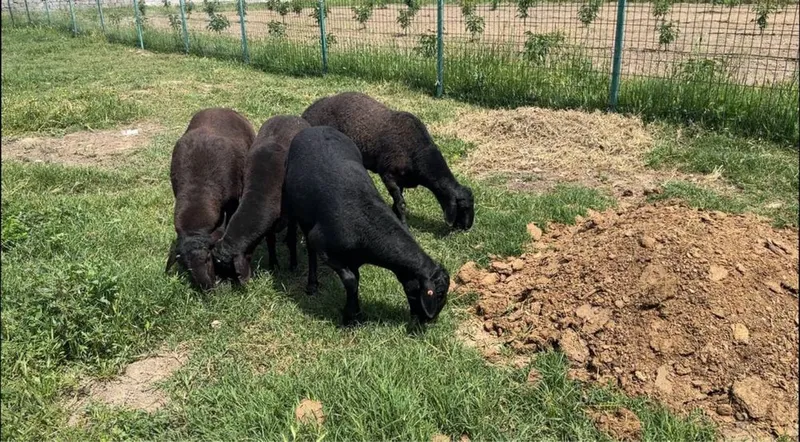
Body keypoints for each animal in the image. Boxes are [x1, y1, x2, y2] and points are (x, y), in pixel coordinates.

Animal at [165, 108, 255, 291]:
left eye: (208, 258)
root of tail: (220, 108)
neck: (198, 191)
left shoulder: (232, 201)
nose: (207, 288)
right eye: (186, 266)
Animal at [211, 115, 310, 284]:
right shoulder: (269, 224)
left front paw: (293, 265)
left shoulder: (291, 215)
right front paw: (274, 265)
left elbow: (292, 240)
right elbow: (270, 242)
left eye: (230, 269)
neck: (261, 193)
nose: (222, 285)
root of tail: (290, 116)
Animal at [283, 126, 450, 325]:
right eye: (438, 293)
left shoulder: (354, 259)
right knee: (304, 241)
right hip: (294, 206)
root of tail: (315, 128)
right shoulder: (322, 245)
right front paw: (348, 317)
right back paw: (310, 282)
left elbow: (356, 279)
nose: (428, 321)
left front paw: (356, 313)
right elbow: (351, 281)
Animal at [301, 92, 474, 230]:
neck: (419, 153)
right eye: (463, 207)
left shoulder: (401, 179)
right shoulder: (388, 175)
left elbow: (398, 201)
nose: (467, 228)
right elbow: (401, 203)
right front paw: (404, 225)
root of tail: (308, 111)